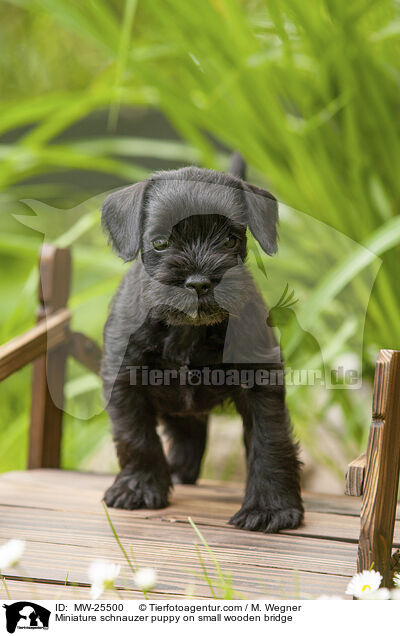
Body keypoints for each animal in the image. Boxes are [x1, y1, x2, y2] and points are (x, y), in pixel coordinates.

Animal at [101, 154, 304, 532]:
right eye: (160, 242)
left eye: (230, 239)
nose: (198, 283)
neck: (187, 330)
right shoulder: (123, 380)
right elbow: (136, 436)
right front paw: (139, 487)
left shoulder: (261, 382)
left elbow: (270, 440)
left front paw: (271, 507)